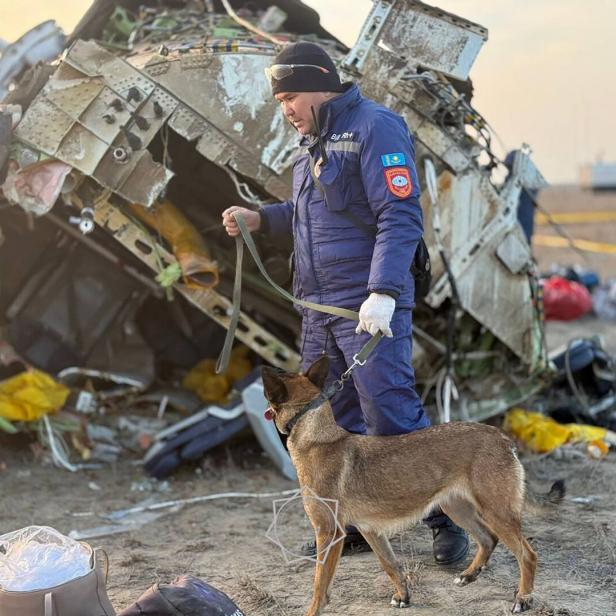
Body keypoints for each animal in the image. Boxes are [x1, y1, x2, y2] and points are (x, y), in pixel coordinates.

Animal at [262, 356, 552, 616]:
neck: (316, 436)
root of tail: (502, 438)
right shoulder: (370, 530)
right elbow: (390, 565)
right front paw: (403, 596)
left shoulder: (328, 533)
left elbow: (319, 584)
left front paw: (314, 610)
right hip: (458, 508)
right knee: (487, 539)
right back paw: (470, 574)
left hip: (496, 512)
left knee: (527, 555)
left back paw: (523, 598)